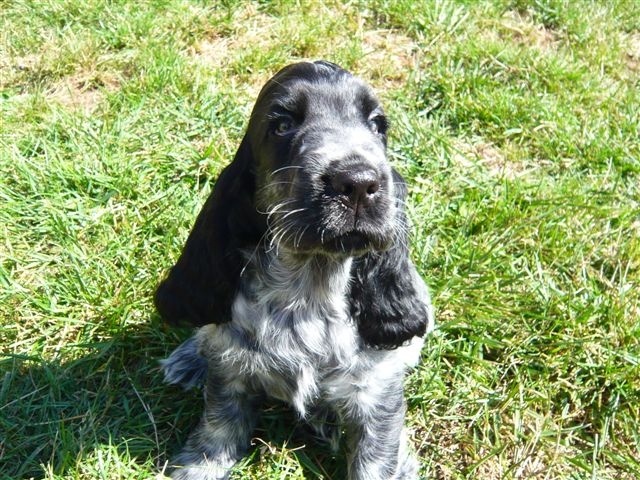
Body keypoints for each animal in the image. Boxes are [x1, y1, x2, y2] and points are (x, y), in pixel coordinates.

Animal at [155, 60, 434, 480]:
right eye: (282, 124)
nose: (358, 183)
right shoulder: (229, 374)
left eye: (377, 125)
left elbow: (375, 462)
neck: (309, 286)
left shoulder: (376, 403)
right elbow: (218, 429)